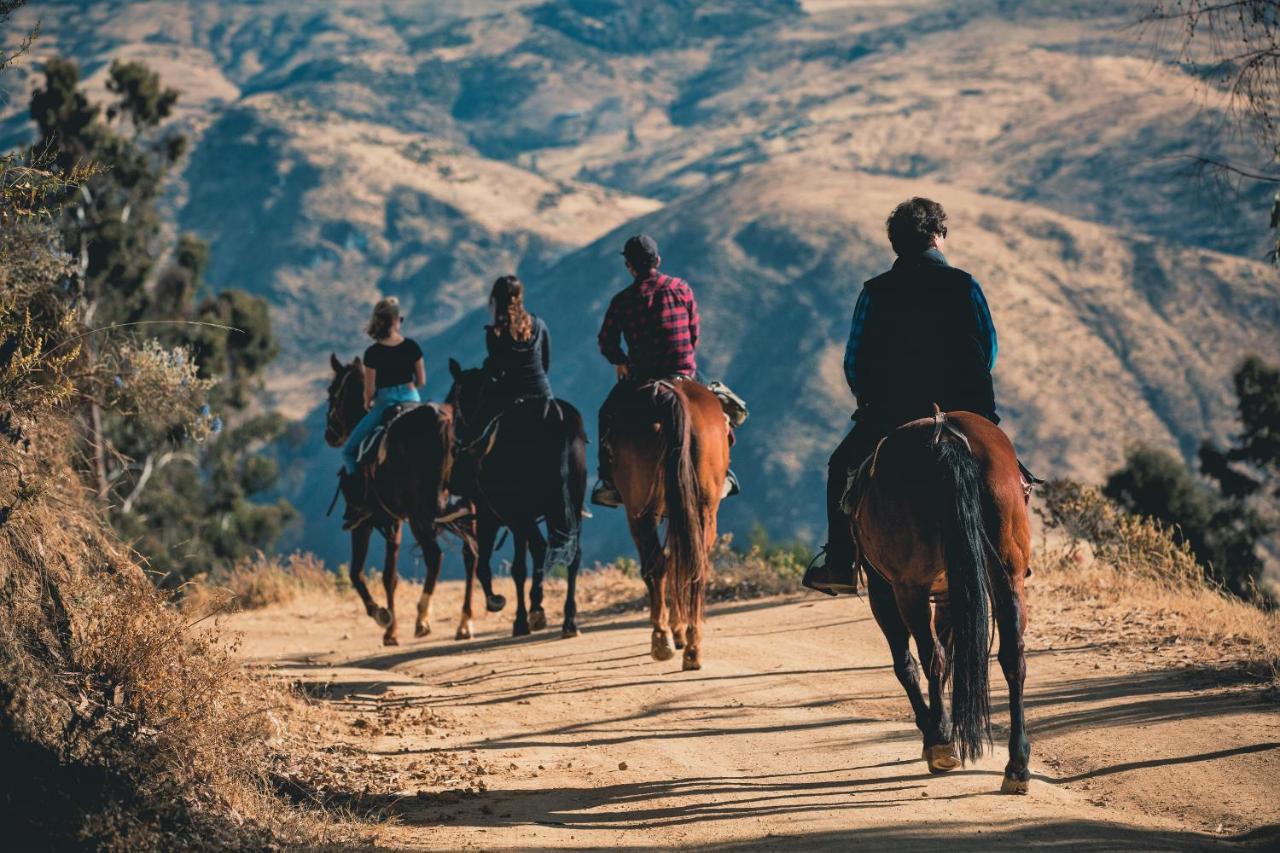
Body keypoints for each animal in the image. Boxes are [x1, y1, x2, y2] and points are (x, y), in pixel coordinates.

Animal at [320, 353, 504, 645]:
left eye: (331, 392)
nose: (330, 433)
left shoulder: (366, 522)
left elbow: (356, 572)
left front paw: (382, 616)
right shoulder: (393, 522)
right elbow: (389, 576)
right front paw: (391, 630)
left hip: (421, 516)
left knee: (435, 557)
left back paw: (422, 619)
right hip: (464, 507)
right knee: (471, 554)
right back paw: (465, 622)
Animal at [445, 358, 588, 637]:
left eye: (455, 400)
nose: (458, 444)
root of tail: (556, 418)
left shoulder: (495, 517)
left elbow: (496, 566)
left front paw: (507, 608)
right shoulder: (520, 518)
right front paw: (534, 610)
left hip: (523, 515)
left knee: (537, 553)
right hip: (568, 507)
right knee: (571, 554)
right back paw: (569, 620)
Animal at [611, 376, 732, 666]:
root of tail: (672, 394)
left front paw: (672, 632)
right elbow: (678, 560)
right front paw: (679, 631)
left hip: (640, 510)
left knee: (656, 564)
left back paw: (661, 638)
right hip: (703, 508)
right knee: (696, 564)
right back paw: (692, 647)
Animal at [844, 409, 1034, 794]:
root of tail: (946, 434)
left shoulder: (883, 590)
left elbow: (907, 662)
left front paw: (936, 731)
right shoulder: (949, 593)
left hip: (909, 588)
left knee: (929, 656)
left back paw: (941, 745)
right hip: (1007, 575)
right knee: (1012, 656)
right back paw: (1017, 766)